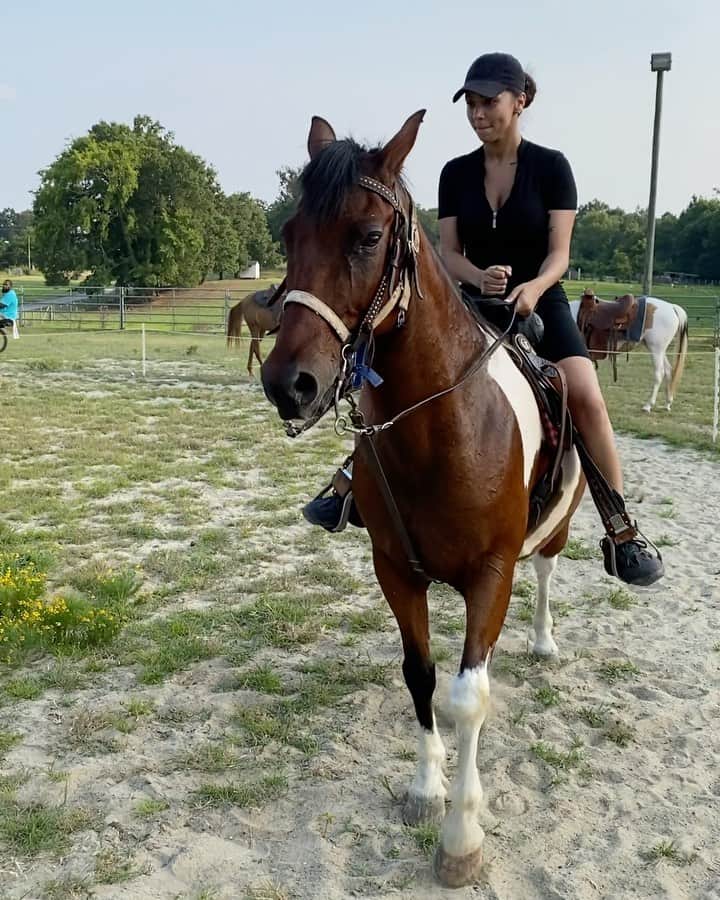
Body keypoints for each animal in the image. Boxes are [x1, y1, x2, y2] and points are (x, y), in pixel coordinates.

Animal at [261, 111, 585, 887]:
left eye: (368, 236)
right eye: (289, 233)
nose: (289, 384)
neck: (443, 426)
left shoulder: (490, 574)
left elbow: (468, 697)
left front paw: (461, 837)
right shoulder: (396, 569)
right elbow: (421, 676)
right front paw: (423, 788)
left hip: (555, 531)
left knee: (546, 572)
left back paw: (544, 640)